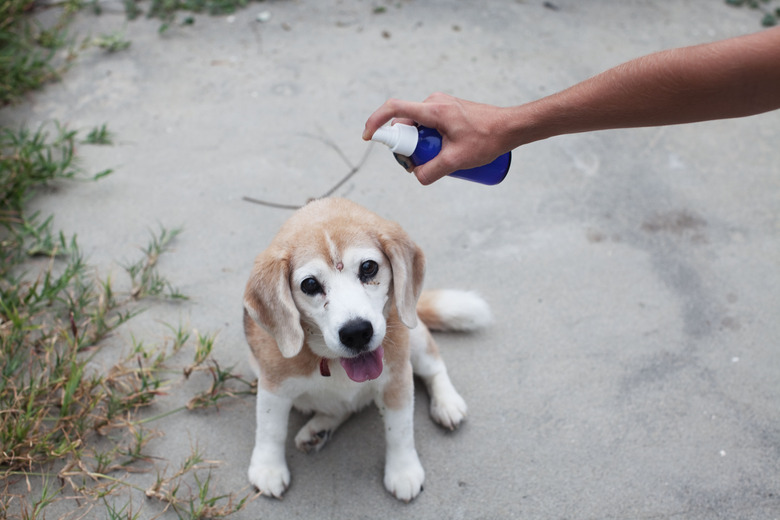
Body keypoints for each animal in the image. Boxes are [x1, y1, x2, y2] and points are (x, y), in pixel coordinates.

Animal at [241, 197, 490, 502]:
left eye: (369, 267)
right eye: (310, 284)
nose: (357, 332)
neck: (335, 361)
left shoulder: (397, 380)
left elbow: (400, 431)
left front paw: (403, 471)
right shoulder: (273, 387)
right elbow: (270, 430)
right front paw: (268, 468)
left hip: (415, 336)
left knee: (434, 368)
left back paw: (447, 403)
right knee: (342, 408)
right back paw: (319, 429)